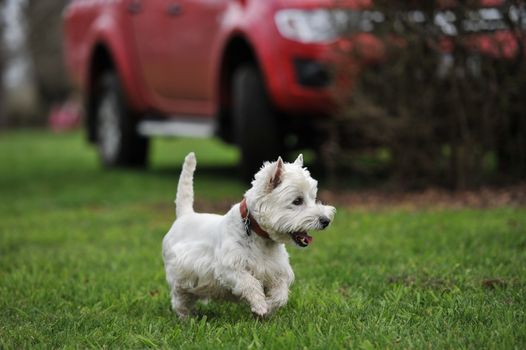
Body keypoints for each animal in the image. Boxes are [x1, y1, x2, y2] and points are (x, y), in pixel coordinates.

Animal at [163, 152, 336, 318]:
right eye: (297, 201)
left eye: (313, 198)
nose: (326, 221)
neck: (259, 235)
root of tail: (185, 215)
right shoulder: (229, 267)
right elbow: (250, 282)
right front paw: (260, 306)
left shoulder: (278, 270)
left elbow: (281, 294)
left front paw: (269, 307)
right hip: (179, 274)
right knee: (179, 299)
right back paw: (186, 318)